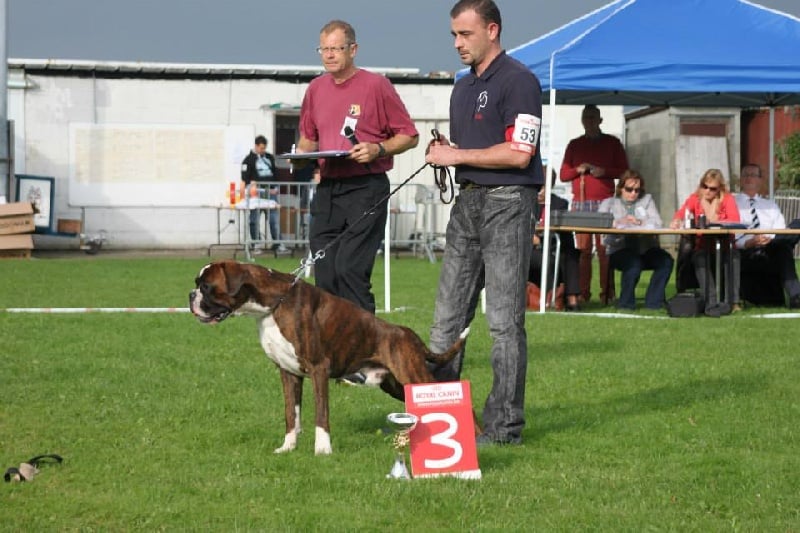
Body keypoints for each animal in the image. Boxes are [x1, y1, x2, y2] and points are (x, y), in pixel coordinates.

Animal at [190, 260, 468, 456]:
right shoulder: (288, 373)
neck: (274, 304)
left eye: (206, 286)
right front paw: (288, 447)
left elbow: (321, 413)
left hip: (413, 376)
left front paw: (323, 449)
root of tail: (408, 334)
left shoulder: (318, 370)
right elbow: (291, 413)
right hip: (396, 385)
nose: (191, 295)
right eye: (198, 285)